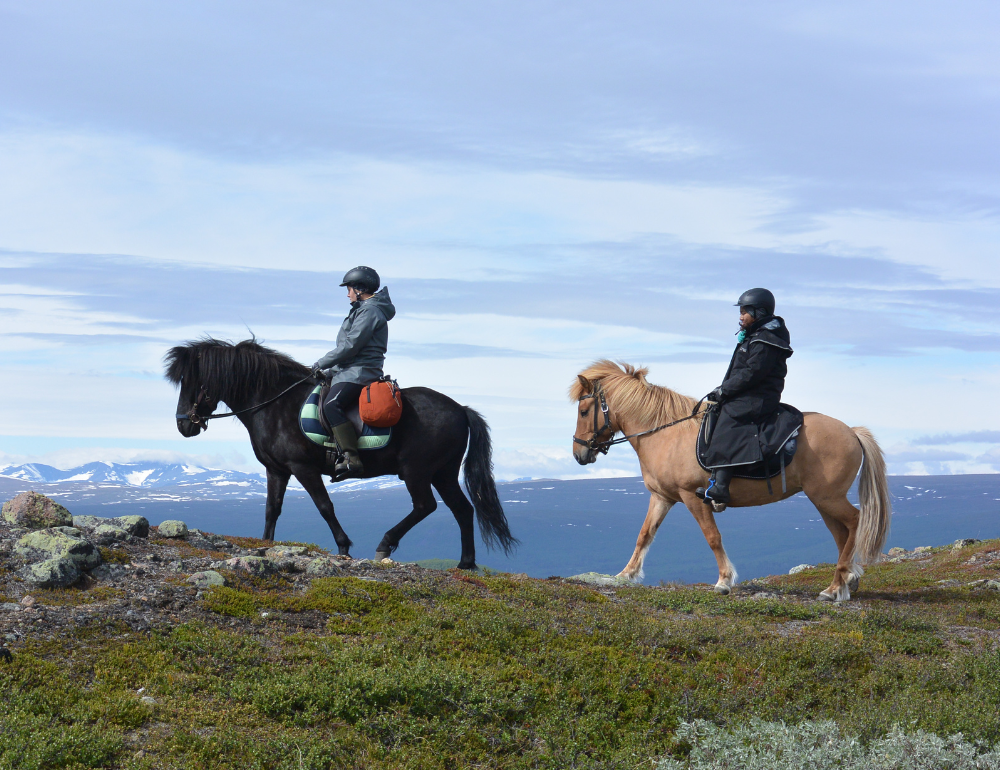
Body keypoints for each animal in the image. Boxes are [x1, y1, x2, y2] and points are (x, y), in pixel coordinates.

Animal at [572, 360, 892, 600]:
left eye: (584, 411)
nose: (578, 454)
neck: (664, 433)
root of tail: (852, 432)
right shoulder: (662, 497)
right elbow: (644, 534)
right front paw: (625, 575)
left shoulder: (692, 496)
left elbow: (712, 537)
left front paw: (724, 581)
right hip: (823, 500)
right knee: (841, 533)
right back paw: (845, 581)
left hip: (828, 497)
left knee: (855, 521)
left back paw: (836, 587)